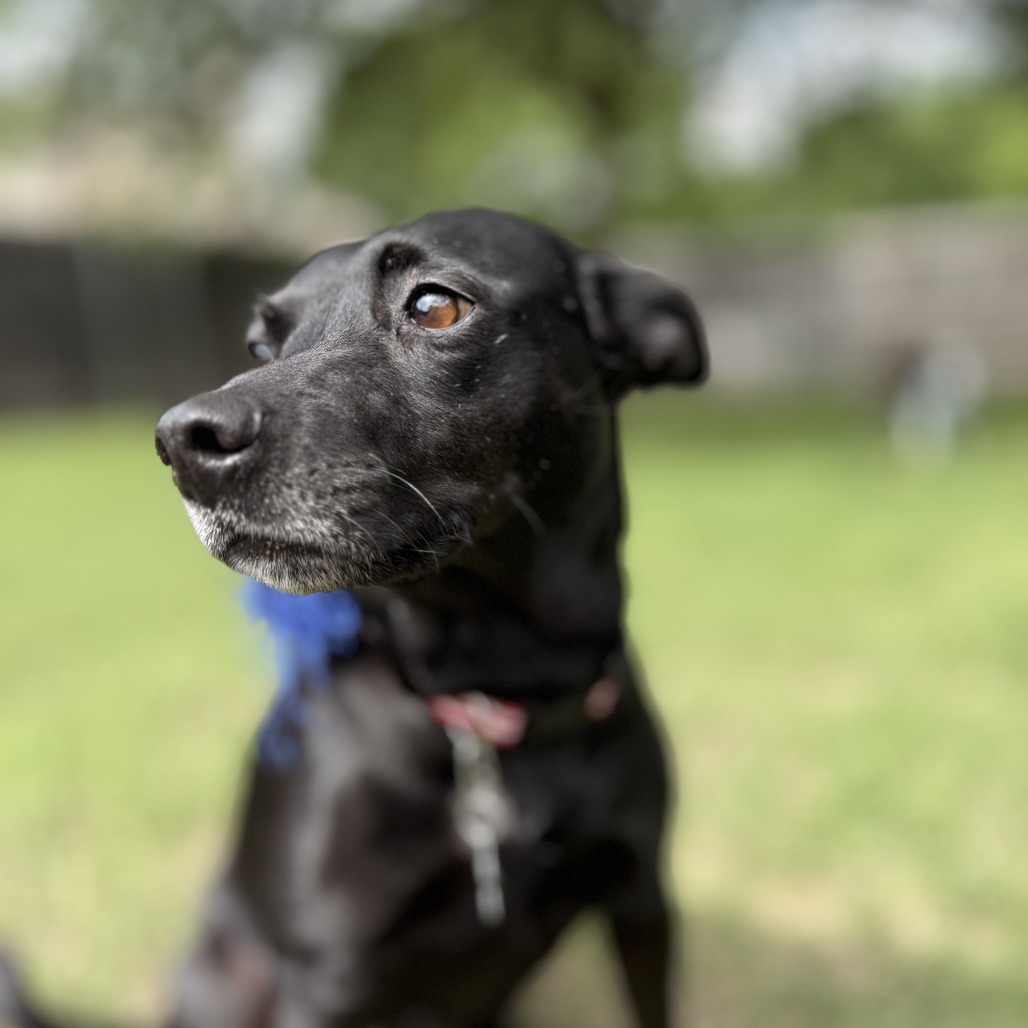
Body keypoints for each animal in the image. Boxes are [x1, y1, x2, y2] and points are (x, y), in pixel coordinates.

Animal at [1, 208, 706, 1028]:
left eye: (435, 306)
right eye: (261, 345)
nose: (183, 442)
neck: (495, 686)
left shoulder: (641, 903)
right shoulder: (332, 975)